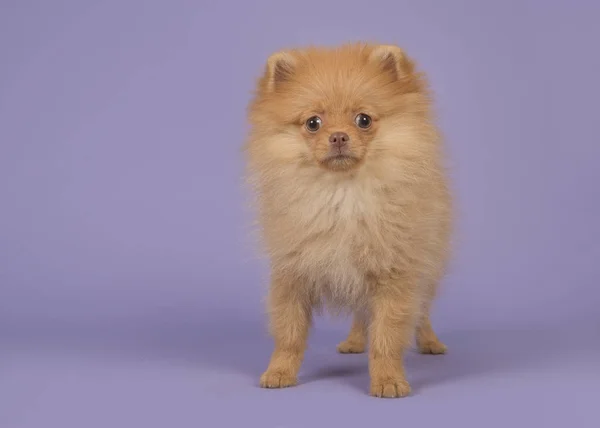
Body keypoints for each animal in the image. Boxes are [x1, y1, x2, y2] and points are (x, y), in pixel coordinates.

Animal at [244, 43, 450, 398]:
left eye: (363, 120)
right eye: (313, 123)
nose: (339, 136)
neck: (342, 195)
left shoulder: (394, 274)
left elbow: (386, 336)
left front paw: (388, 379)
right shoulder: (292, 273)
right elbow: (289, 333)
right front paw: (280, 371)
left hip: (428, 266)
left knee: (421, 311)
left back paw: (430, 342)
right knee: (360, 314)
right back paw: (354, 342)